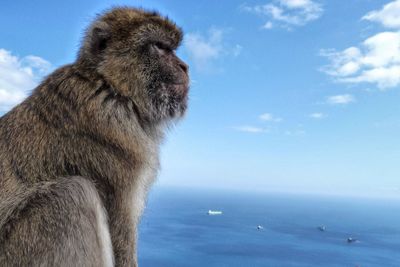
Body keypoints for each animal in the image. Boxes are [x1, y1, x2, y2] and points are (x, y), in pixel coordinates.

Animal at [0, 6, 189, 267]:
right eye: (159, 47)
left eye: (172, 49)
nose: (184, 66)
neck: (110, 87)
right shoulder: (120, 145)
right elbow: (121, 230)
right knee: (71, 194)